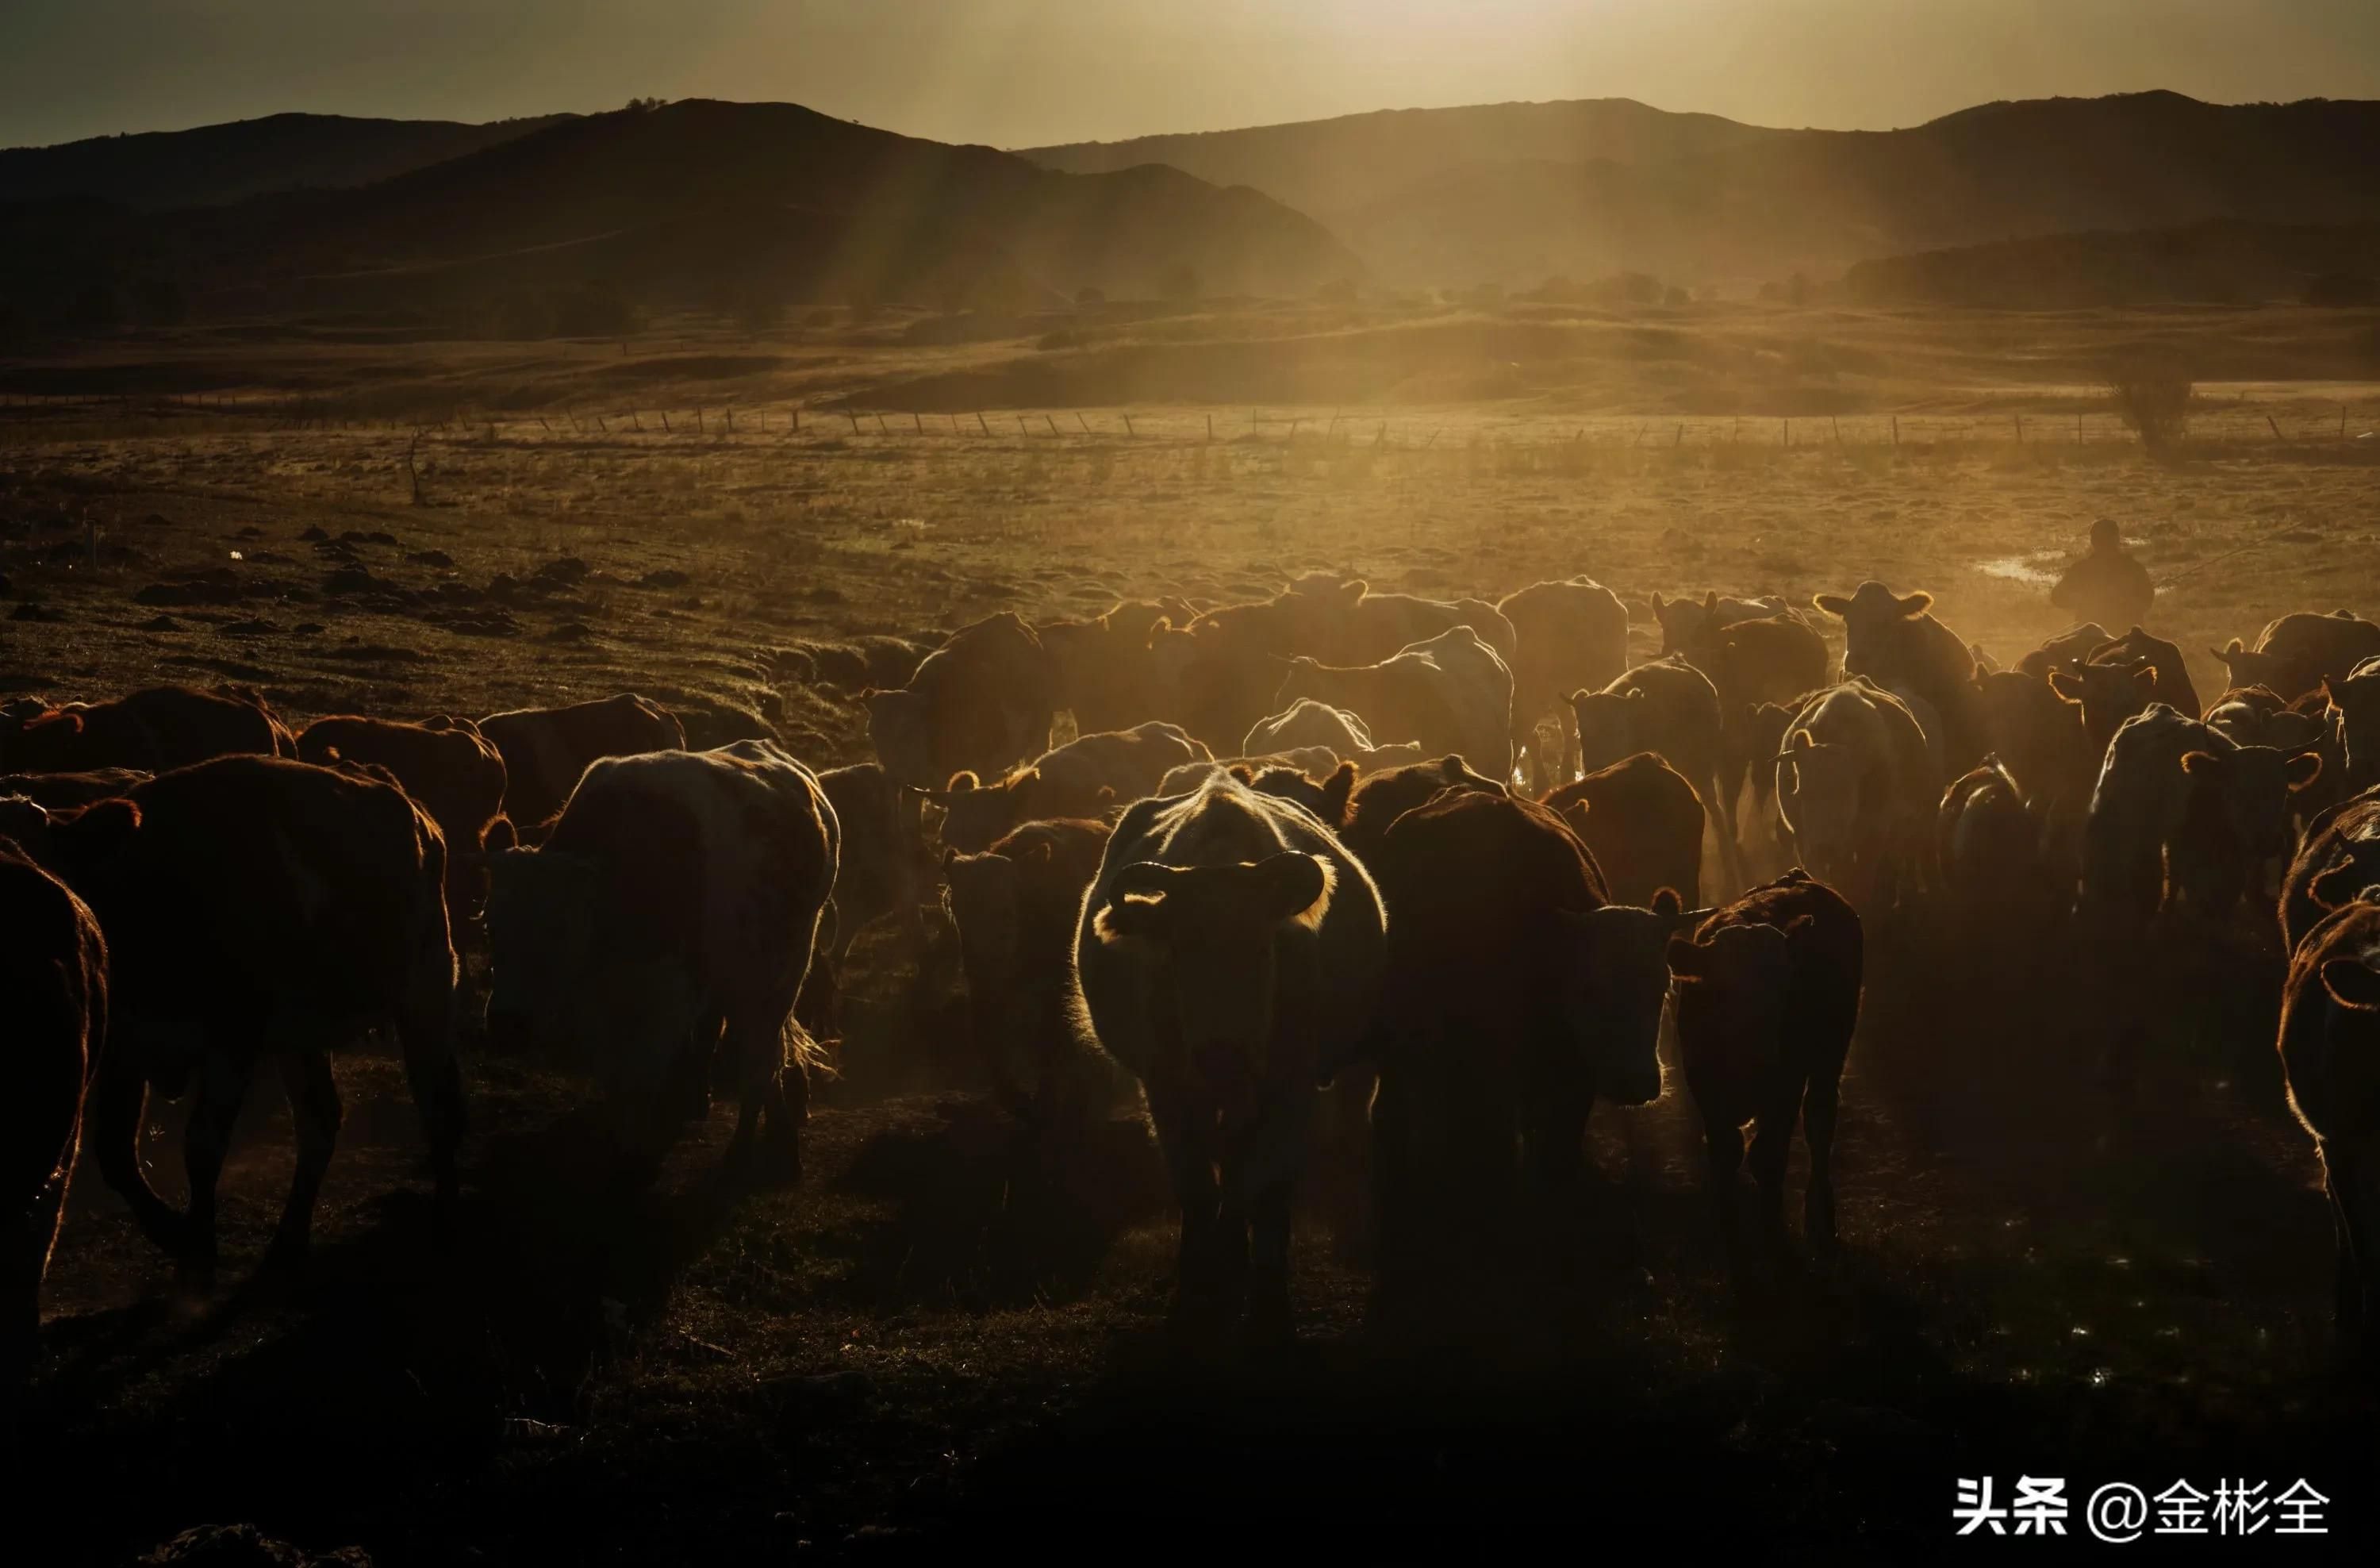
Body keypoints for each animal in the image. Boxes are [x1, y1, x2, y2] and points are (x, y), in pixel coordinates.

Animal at [488, 742, 843, 1185]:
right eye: (490, 925)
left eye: (558, 930)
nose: (507, 1025)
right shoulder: (602, 1004)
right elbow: (617, 1079)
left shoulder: (668, 997)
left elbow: (642, 1078)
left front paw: (636, 1160)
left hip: (783, 970)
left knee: (762, 1056)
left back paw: (753, 1149)